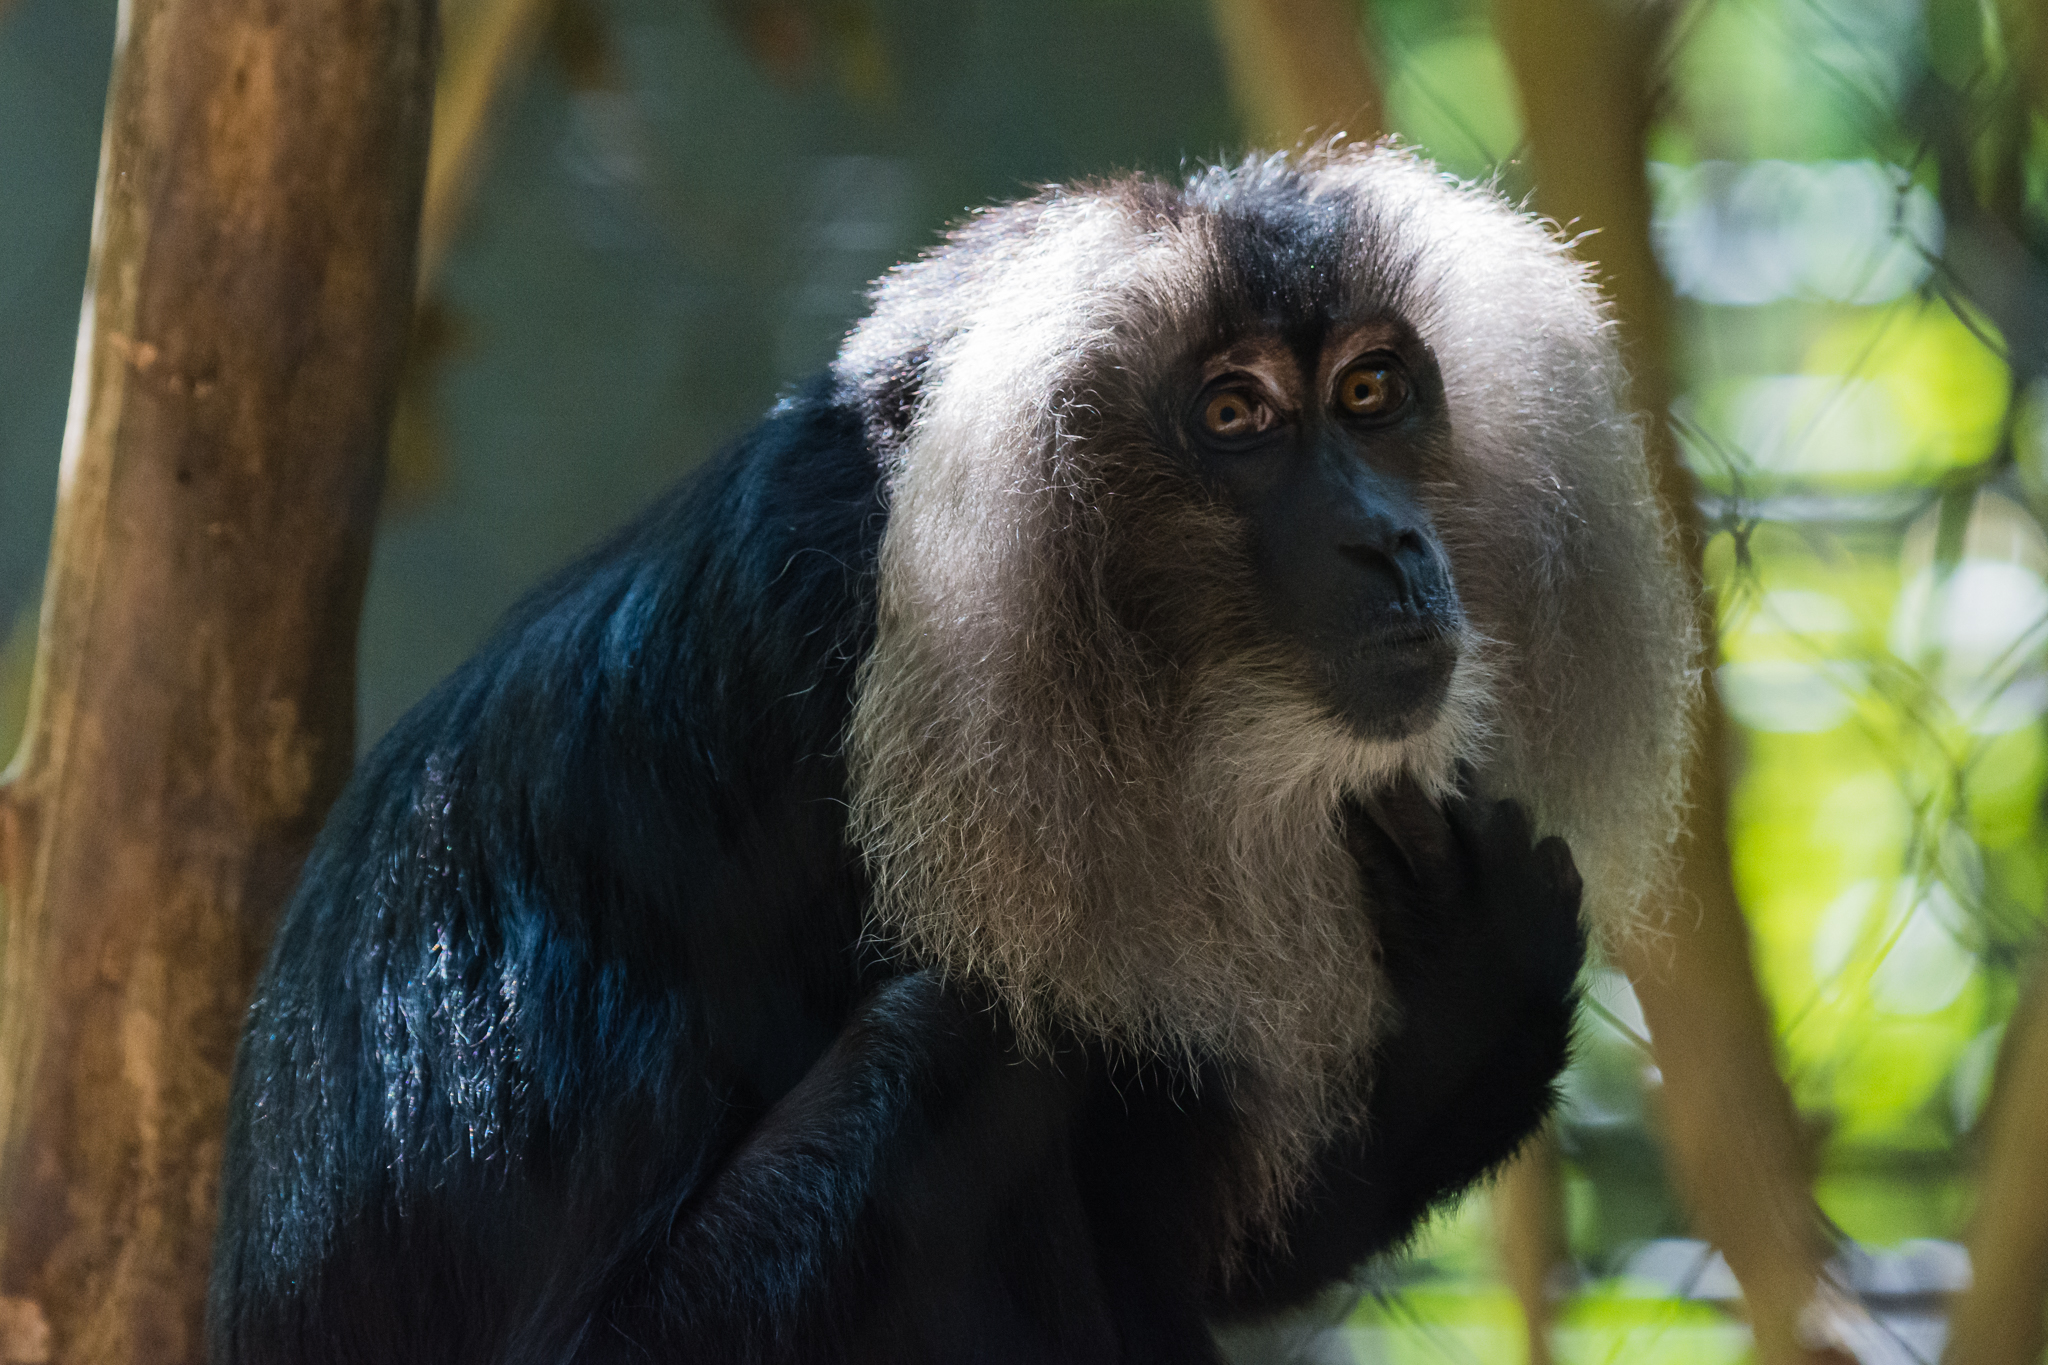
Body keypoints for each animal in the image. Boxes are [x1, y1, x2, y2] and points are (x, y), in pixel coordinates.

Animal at [208, 144, 1696, 1365]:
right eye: (1236, 417)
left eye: (1372, 391)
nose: (1388, 543)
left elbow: (1211, 1249)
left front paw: (1473, 982)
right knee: (960, 1049)